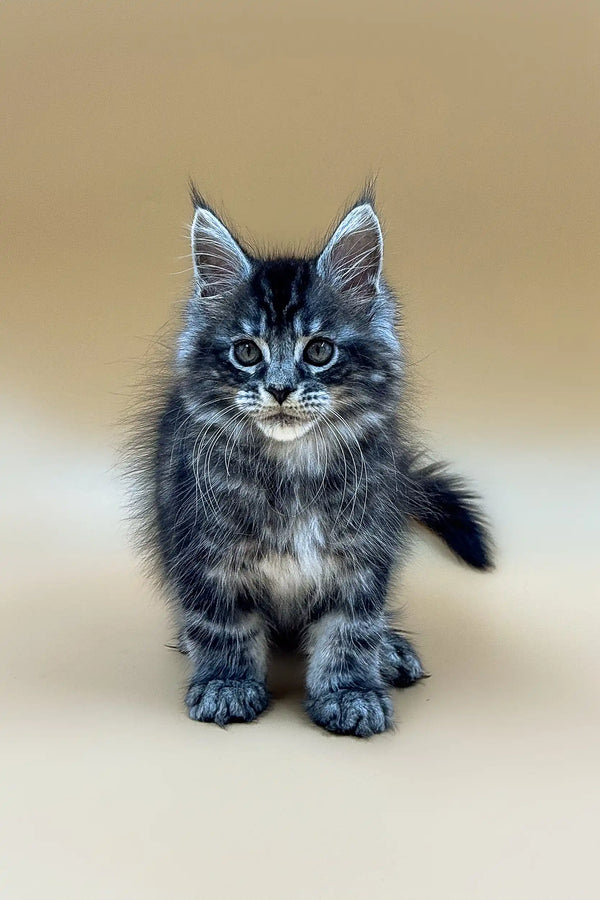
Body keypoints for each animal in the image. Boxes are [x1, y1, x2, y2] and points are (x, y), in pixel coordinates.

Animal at [132, 185, 492, 740]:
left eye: (319, 350)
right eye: (246, 352)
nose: (280, 388)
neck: (292, 469)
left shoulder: (364, 554)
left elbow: (351, 630)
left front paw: (350, 693)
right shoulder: (206, 552)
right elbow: (223, 625)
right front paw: (227, 684)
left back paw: (389, 650)